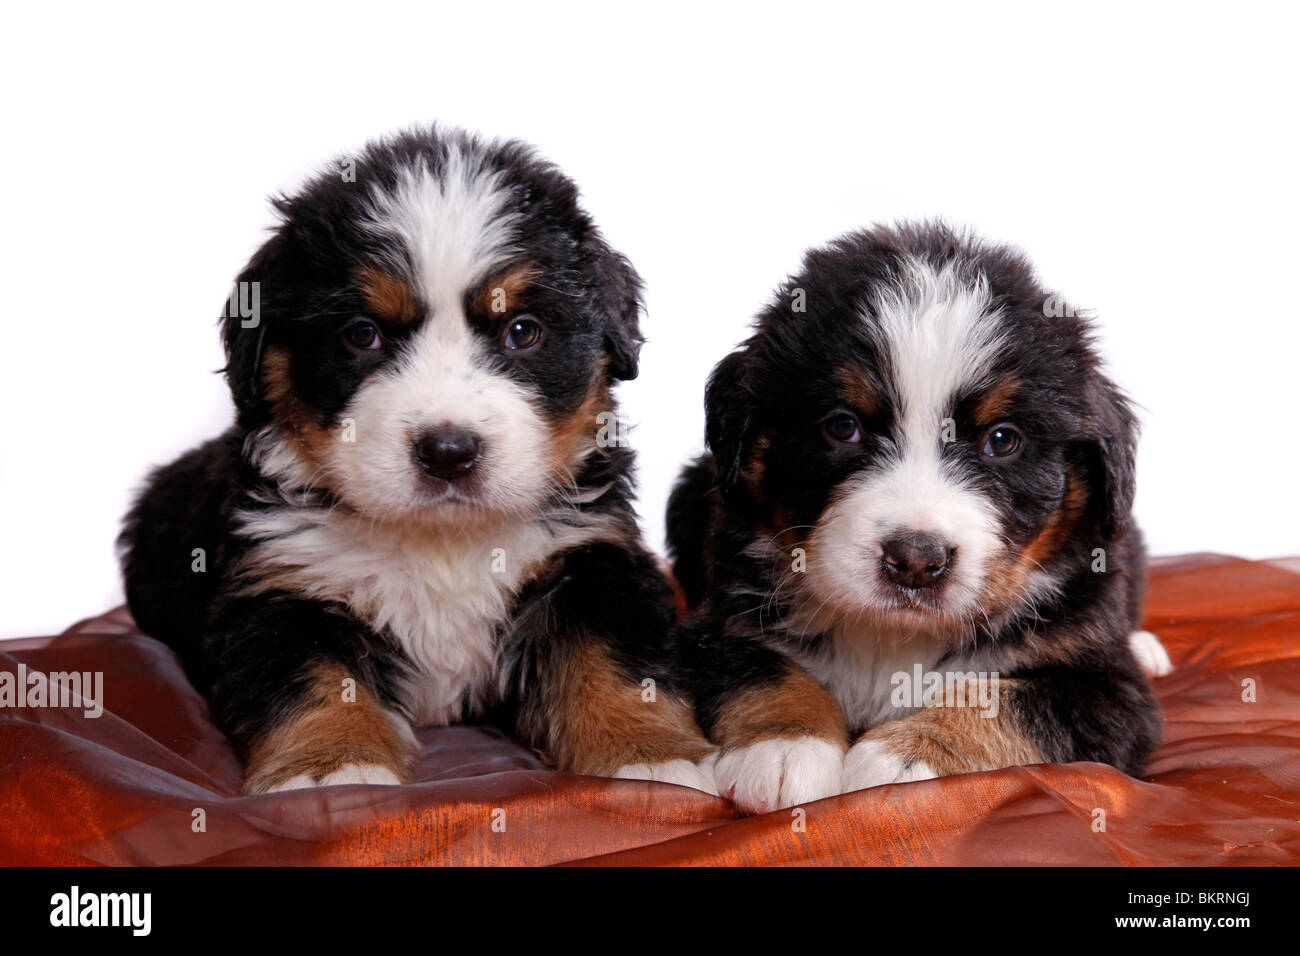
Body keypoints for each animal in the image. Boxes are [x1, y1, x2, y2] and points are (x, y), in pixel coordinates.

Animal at [119, 128, 712, 801]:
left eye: (522, 331)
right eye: (361, 334)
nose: (448, 452)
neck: (441, 540)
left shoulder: (588, 556)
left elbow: (613, 661)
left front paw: (651, 755)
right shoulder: (283, 580)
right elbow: (314, 680)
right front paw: (332, 767)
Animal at [670, 222, 1170, 816]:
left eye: (1002, 440)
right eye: (842, 427)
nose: (914, 560)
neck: (893, 635)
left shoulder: (1108, 692)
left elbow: (1001, 698)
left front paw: (908, 756)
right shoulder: (717, 626)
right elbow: (762, 669)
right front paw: (784, 745)